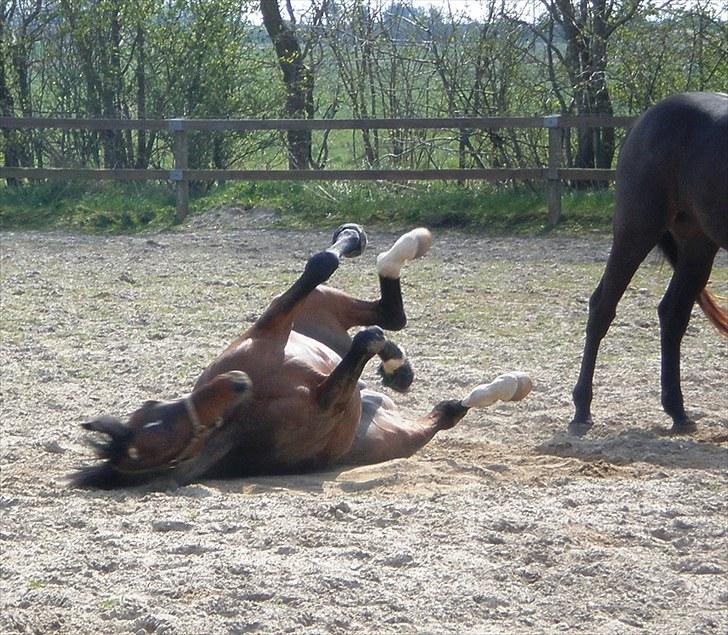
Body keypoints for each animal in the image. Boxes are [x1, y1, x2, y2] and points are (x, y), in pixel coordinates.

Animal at [74, 226, 528, 490]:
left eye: (155, 407)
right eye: (163, 442)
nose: (237, 382)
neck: (255, 404)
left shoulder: (271, 327)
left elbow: (319, 265)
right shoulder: (329, 401)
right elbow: (365, 341)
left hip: (318, 308)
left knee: (381, 311)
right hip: (403, 433)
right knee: (445, 405)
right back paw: (504, 384)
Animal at [572, 92, 724, 434]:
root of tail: (645, 119)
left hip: (698, 245)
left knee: (673, 314)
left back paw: (677, 411)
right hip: (636, 232)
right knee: (602, 307)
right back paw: (582, 408)